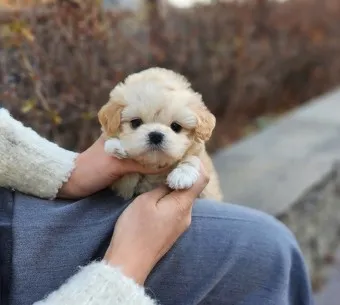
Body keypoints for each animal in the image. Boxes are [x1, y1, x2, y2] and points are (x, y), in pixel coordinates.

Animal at [97, 67, 223, 200]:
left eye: (176, 126)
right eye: (135, 122)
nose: (156, 136)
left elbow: (194, 158)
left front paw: (182, 174)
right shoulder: (122, 186)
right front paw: (116, 146)